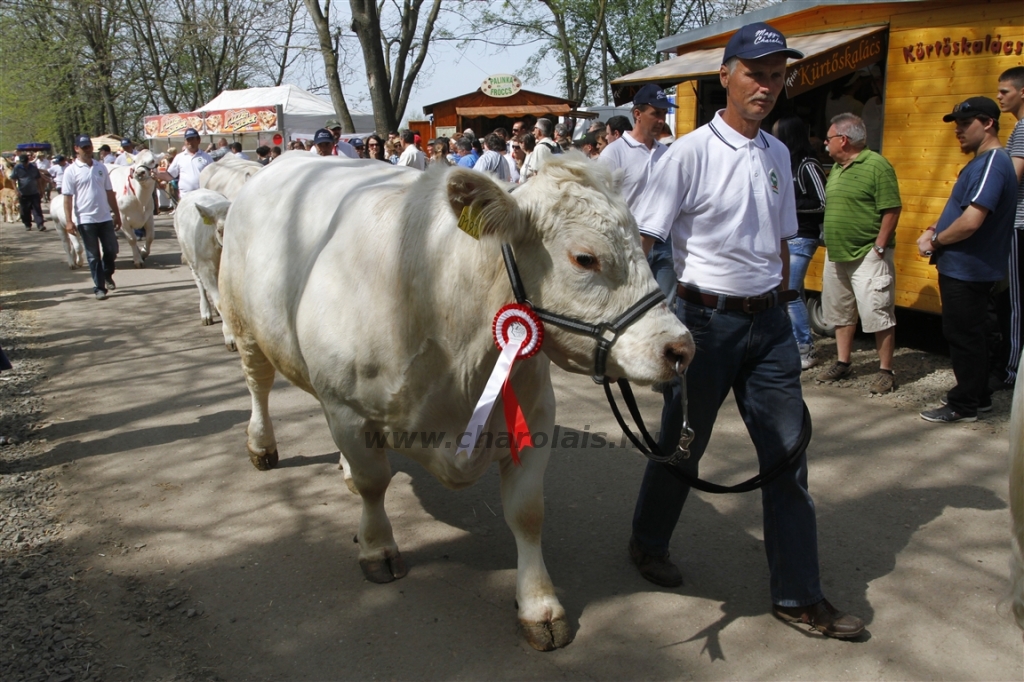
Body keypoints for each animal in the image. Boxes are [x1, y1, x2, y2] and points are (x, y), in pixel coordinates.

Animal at [174, 188, 235, 350]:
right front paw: (230, 337)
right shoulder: (206, 270)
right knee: (199, 283)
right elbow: (220, 302)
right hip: (192, 260)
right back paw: (206, 312)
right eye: (220, 230)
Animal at [219, 151, 692, 651]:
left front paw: (539, 605)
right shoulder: (348, 409)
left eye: (640, 241)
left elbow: (527, 513)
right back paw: (262, 445)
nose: (681, 348)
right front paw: (377, 547)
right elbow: (373, 484)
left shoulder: (534, 417)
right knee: (258, 385)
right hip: (244, 324)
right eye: (585, 258)